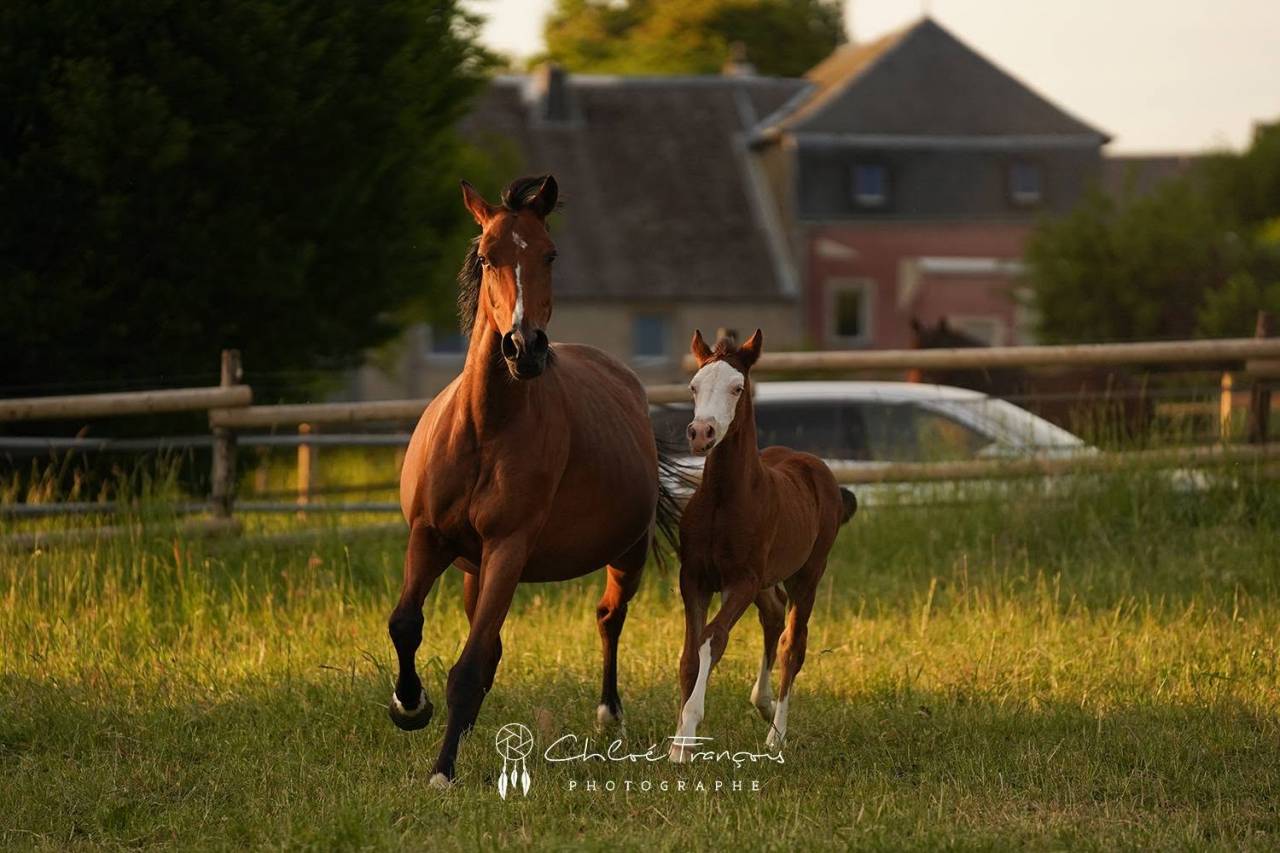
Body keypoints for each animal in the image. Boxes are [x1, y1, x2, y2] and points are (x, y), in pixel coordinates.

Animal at [390, 175, 679, 787]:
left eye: (549, 254)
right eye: (485, 255)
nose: (524, 348)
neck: (484, 427)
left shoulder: (509, 548)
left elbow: (469, 665)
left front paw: (442, 770)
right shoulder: (429, 537)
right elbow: (406, 624)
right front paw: (410, 706)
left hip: (627, 554)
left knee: (609, 618)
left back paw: (609, 715)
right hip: (473, 568)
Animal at [669, 329, 857, 760]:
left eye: (737, 388)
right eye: (693, 386)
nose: (701, 433)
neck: (724, 501)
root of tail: (815, 466)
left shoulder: (742, 581)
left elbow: (712, 640)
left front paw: (688, 733)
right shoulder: (694, 578)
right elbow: (689, 653)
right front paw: (676, 745)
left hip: (808, 573)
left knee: (792, 644)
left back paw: (777, 736)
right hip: (767, 580)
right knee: (773, 614)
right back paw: (764, 704)